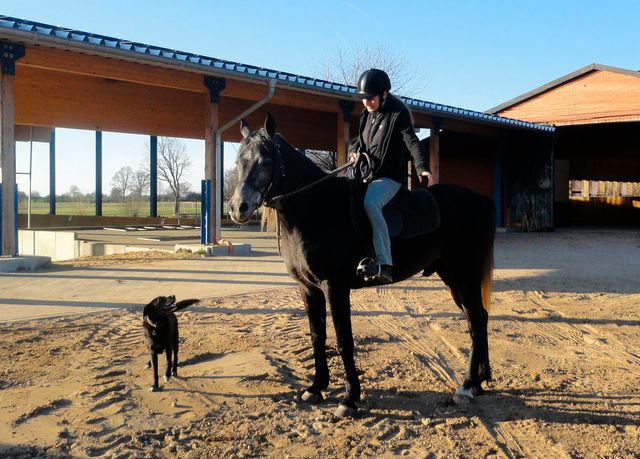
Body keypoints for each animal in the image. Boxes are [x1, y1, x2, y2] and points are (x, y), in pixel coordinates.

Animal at [228, 114, 498, 416]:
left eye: (265, 161)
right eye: (238, 161)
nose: (238, 207)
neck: (316, 208)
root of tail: (480, 200)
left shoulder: (334, 288)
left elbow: (344, 341)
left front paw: (350, 399)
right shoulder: (308, 289)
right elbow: (317, 336)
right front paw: (316, 388)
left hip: (465, 274)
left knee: (476, 320)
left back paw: (467, 385)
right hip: (452, 277)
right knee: (479, 318)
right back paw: (479, 381)